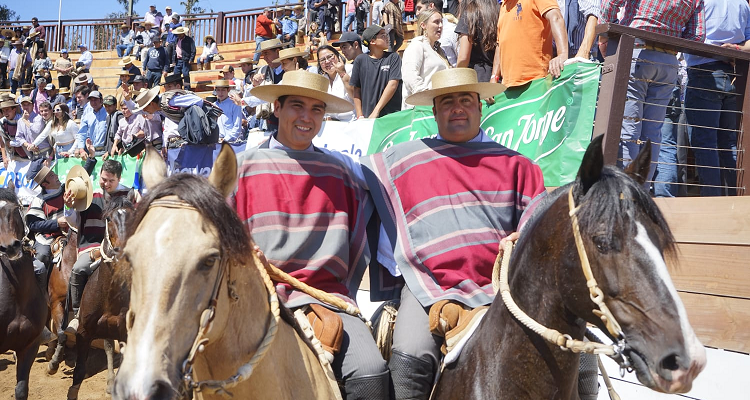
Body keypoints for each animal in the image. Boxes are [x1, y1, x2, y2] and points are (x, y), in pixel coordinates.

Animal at [67, 196, 136, 400]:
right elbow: (79, 372)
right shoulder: (83, 333)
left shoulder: (124, 335)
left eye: (134, 216)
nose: (123, 250)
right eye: (108, 219)